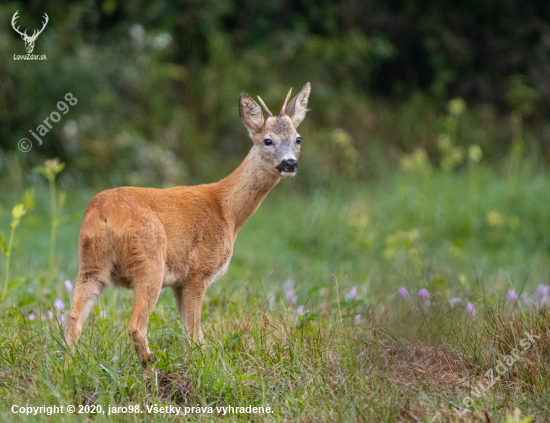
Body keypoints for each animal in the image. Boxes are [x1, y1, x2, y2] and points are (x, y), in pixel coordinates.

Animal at [66, 83, 310, 368]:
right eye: (267, 140)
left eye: (298, 138)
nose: (290, 163)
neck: (226, 211)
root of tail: (103, 214)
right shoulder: (199, 272)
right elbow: (195, 334)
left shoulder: (178, 282)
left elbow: (188, 332)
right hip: (150, 261)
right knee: (136, 326)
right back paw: (152, 363)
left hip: (90, 265)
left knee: (73, 323)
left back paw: (68, 368)